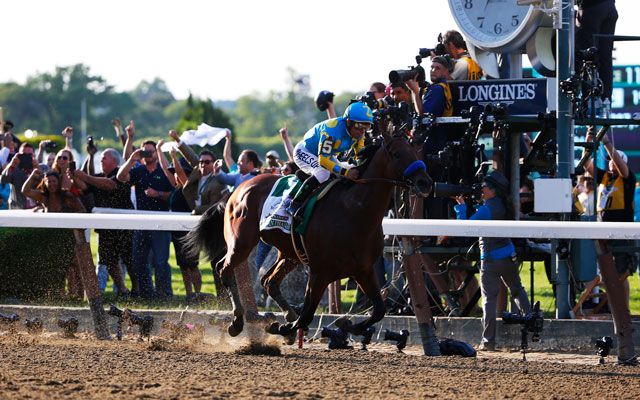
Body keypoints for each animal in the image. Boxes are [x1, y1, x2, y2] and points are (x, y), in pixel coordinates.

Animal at [188, 131, 432, 338]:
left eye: (415, 151)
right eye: (397, 154)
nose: (425, 182)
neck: (353, 212)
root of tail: (238, 188)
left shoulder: (364, 269)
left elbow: (379, 309)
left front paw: (350, 325)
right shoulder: (320, 271)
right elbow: (306, 315)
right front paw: (282, 328)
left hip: (290, 252)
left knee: (268, 281)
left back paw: (285, 314)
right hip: (241, 242)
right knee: (224, 268)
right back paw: (238, 321)